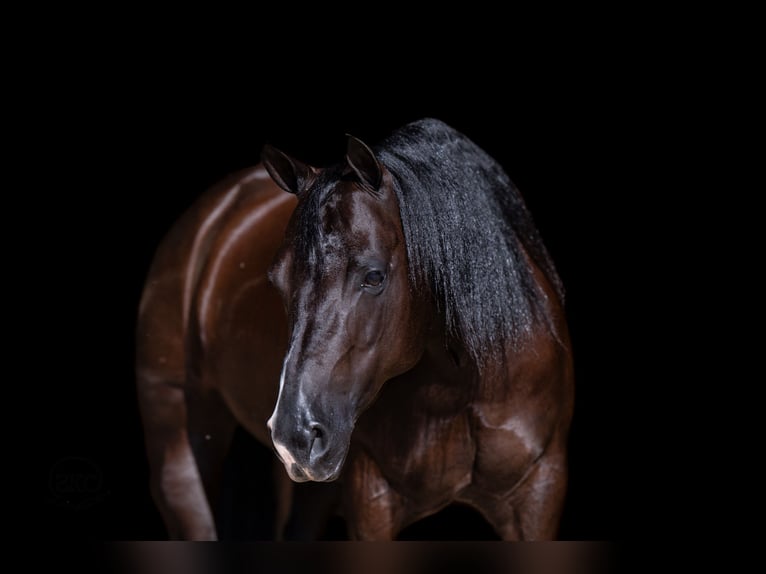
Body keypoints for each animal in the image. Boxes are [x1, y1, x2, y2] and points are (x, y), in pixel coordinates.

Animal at [136, 118, 574, 540]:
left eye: (374, 276)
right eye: (276, 281)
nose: (295, 434)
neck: (463, 385)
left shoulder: (539, 493)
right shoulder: (372, 499)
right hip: (180, 451)